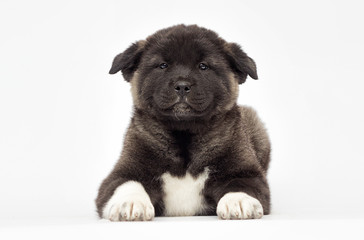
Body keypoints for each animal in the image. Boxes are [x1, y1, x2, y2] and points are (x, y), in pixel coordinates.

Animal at [96, 24, 270, 221]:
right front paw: (130, 203)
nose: (182, 86)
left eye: (203, 66)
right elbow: (128, 183)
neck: (184, 135)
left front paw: (239, 200)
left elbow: (239, 184)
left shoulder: (248, 173)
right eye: (163, 65)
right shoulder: (122, 172)